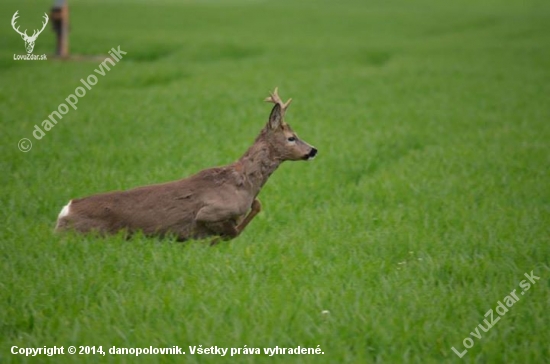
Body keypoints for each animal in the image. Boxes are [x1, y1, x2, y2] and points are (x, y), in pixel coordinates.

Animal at [55, 86, 320, 243]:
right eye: (291, 137)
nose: (313, 150)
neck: (244, 182)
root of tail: (64, 212)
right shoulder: (211, 211)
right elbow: (235, 229)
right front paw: (213, 242)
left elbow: (255, 207)